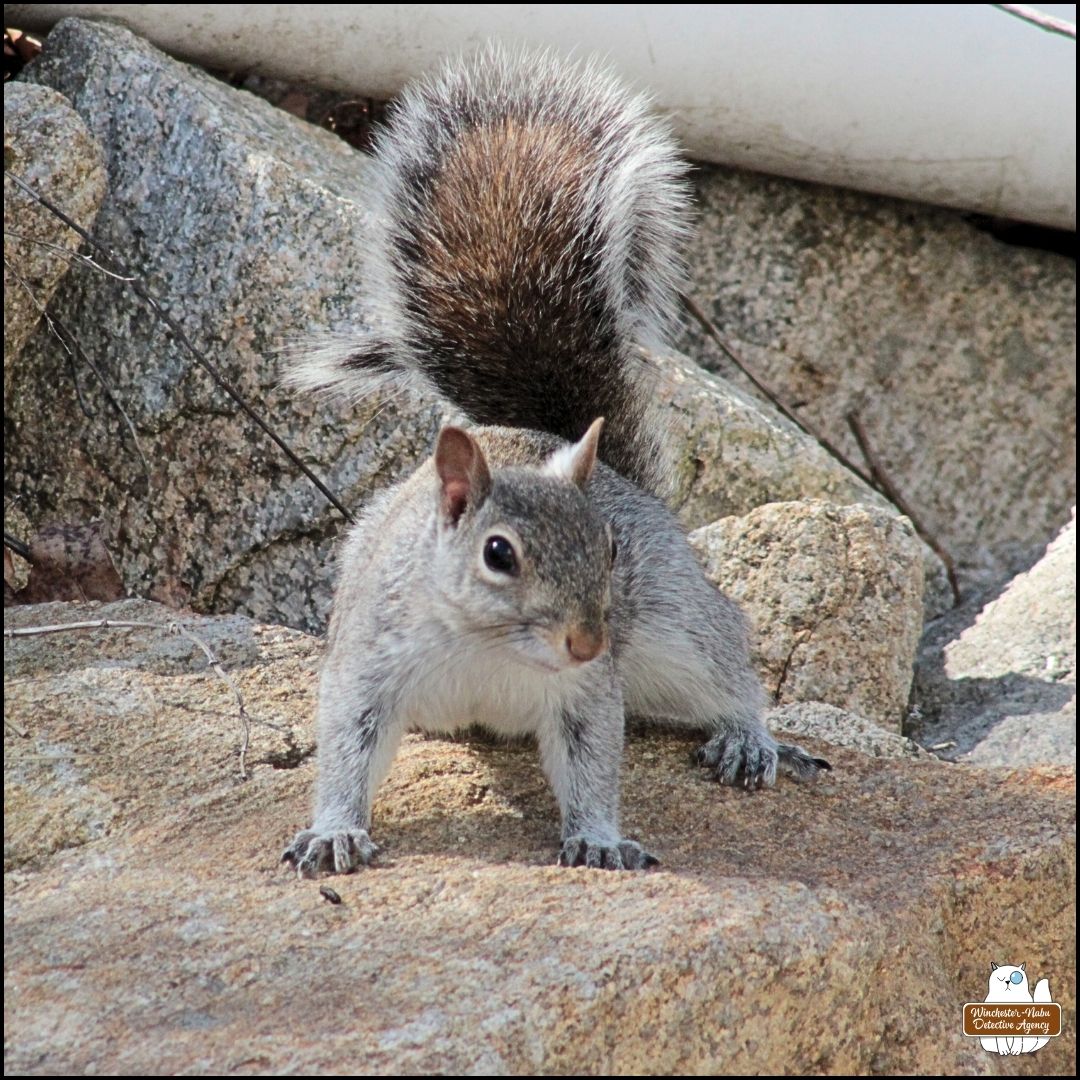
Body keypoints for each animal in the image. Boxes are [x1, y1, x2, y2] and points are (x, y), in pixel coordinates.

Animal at [283, 46, 830, 876]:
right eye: (497, 554)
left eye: (609, 548)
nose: (588, 641)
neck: (492, 649)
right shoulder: (367, 665)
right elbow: (345, 748)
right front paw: (335, 831)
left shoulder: (587, 693)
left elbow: (594, 762)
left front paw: (599, 837)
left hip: (678, 629)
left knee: (728, 664)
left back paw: (749, 739)